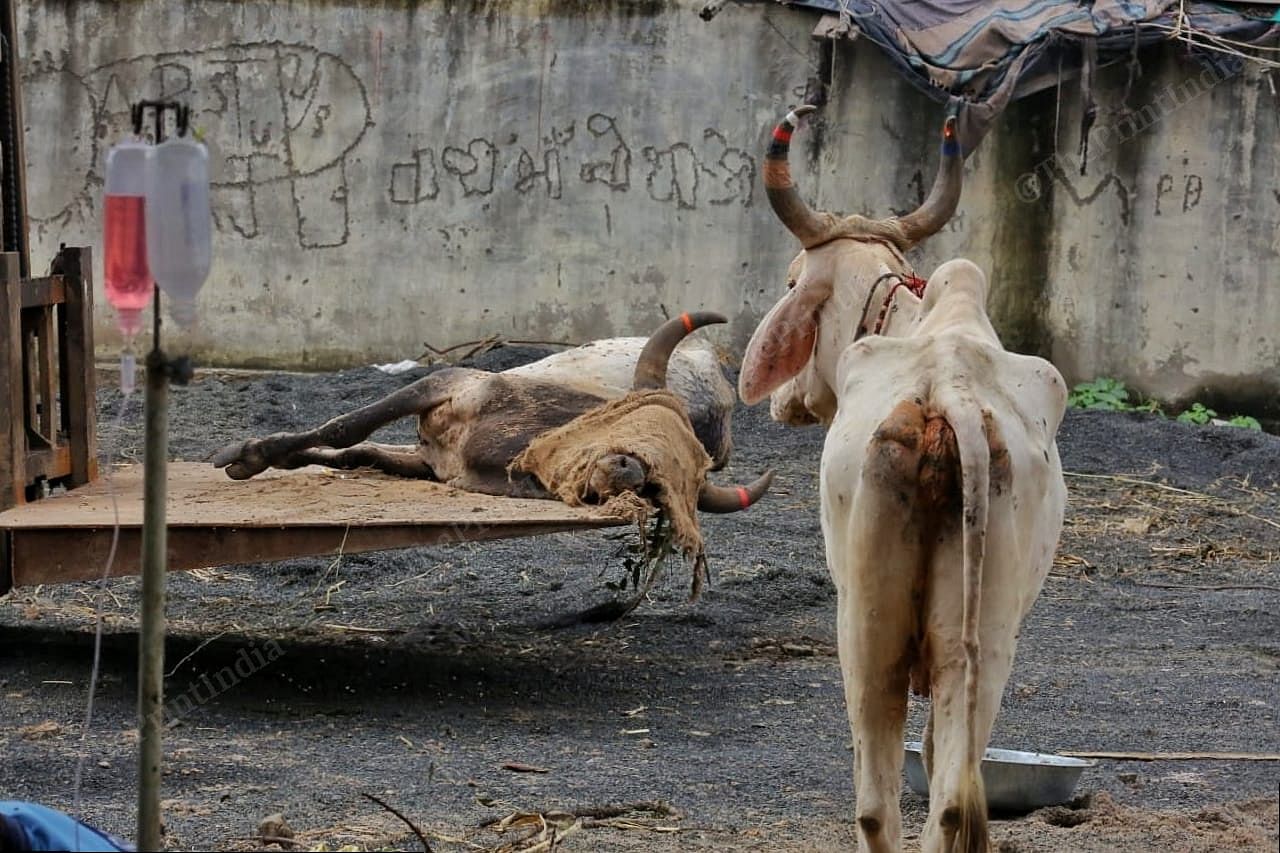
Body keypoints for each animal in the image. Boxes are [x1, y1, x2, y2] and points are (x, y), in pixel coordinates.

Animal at [742, 111, 1070, 850]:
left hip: (864, 627)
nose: (783, 403)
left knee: (876, 800)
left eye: (789, 282)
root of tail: (947, 396)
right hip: (980, 644)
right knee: (948, 795)